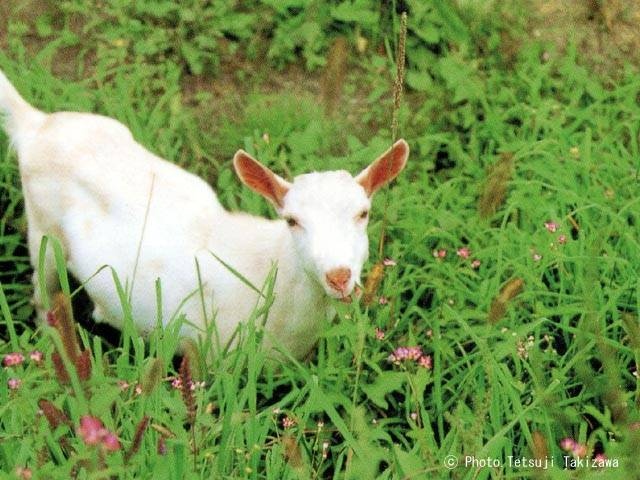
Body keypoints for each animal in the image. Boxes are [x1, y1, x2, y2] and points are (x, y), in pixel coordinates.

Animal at [0, 69, 409, 359]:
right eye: (292, 221)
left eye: (363, 213)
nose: (339, 276)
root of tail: (36, 125)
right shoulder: (207, 354)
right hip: (44, 232)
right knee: (44, 290)